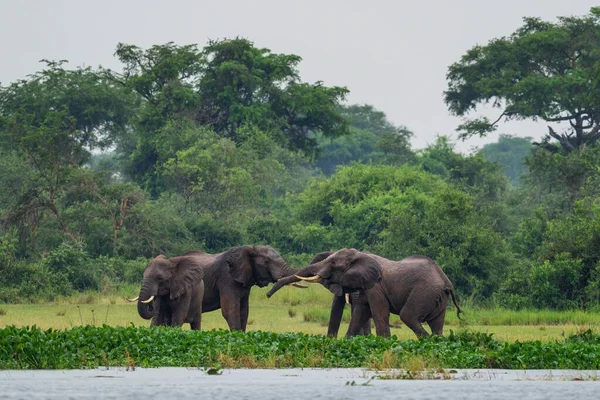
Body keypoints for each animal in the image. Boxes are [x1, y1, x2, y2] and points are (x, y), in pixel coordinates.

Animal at [131, 245, 300, 332]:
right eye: (266, 261)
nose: (268, 295)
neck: (248, 249)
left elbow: (244, 311)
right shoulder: (226, 279)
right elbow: (230, 311)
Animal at [268, 250, 464, 338]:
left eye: (333, 264)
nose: (267, 295)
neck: (360, 255)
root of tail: (446, 281)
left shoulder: (375, 287)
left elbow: (379, 314)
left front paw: (385, 343)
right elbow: (359, 314)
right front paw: (347, 341)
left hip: (424, 292)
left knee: (408, 316)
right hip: (436, 297)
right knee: (437, 324)